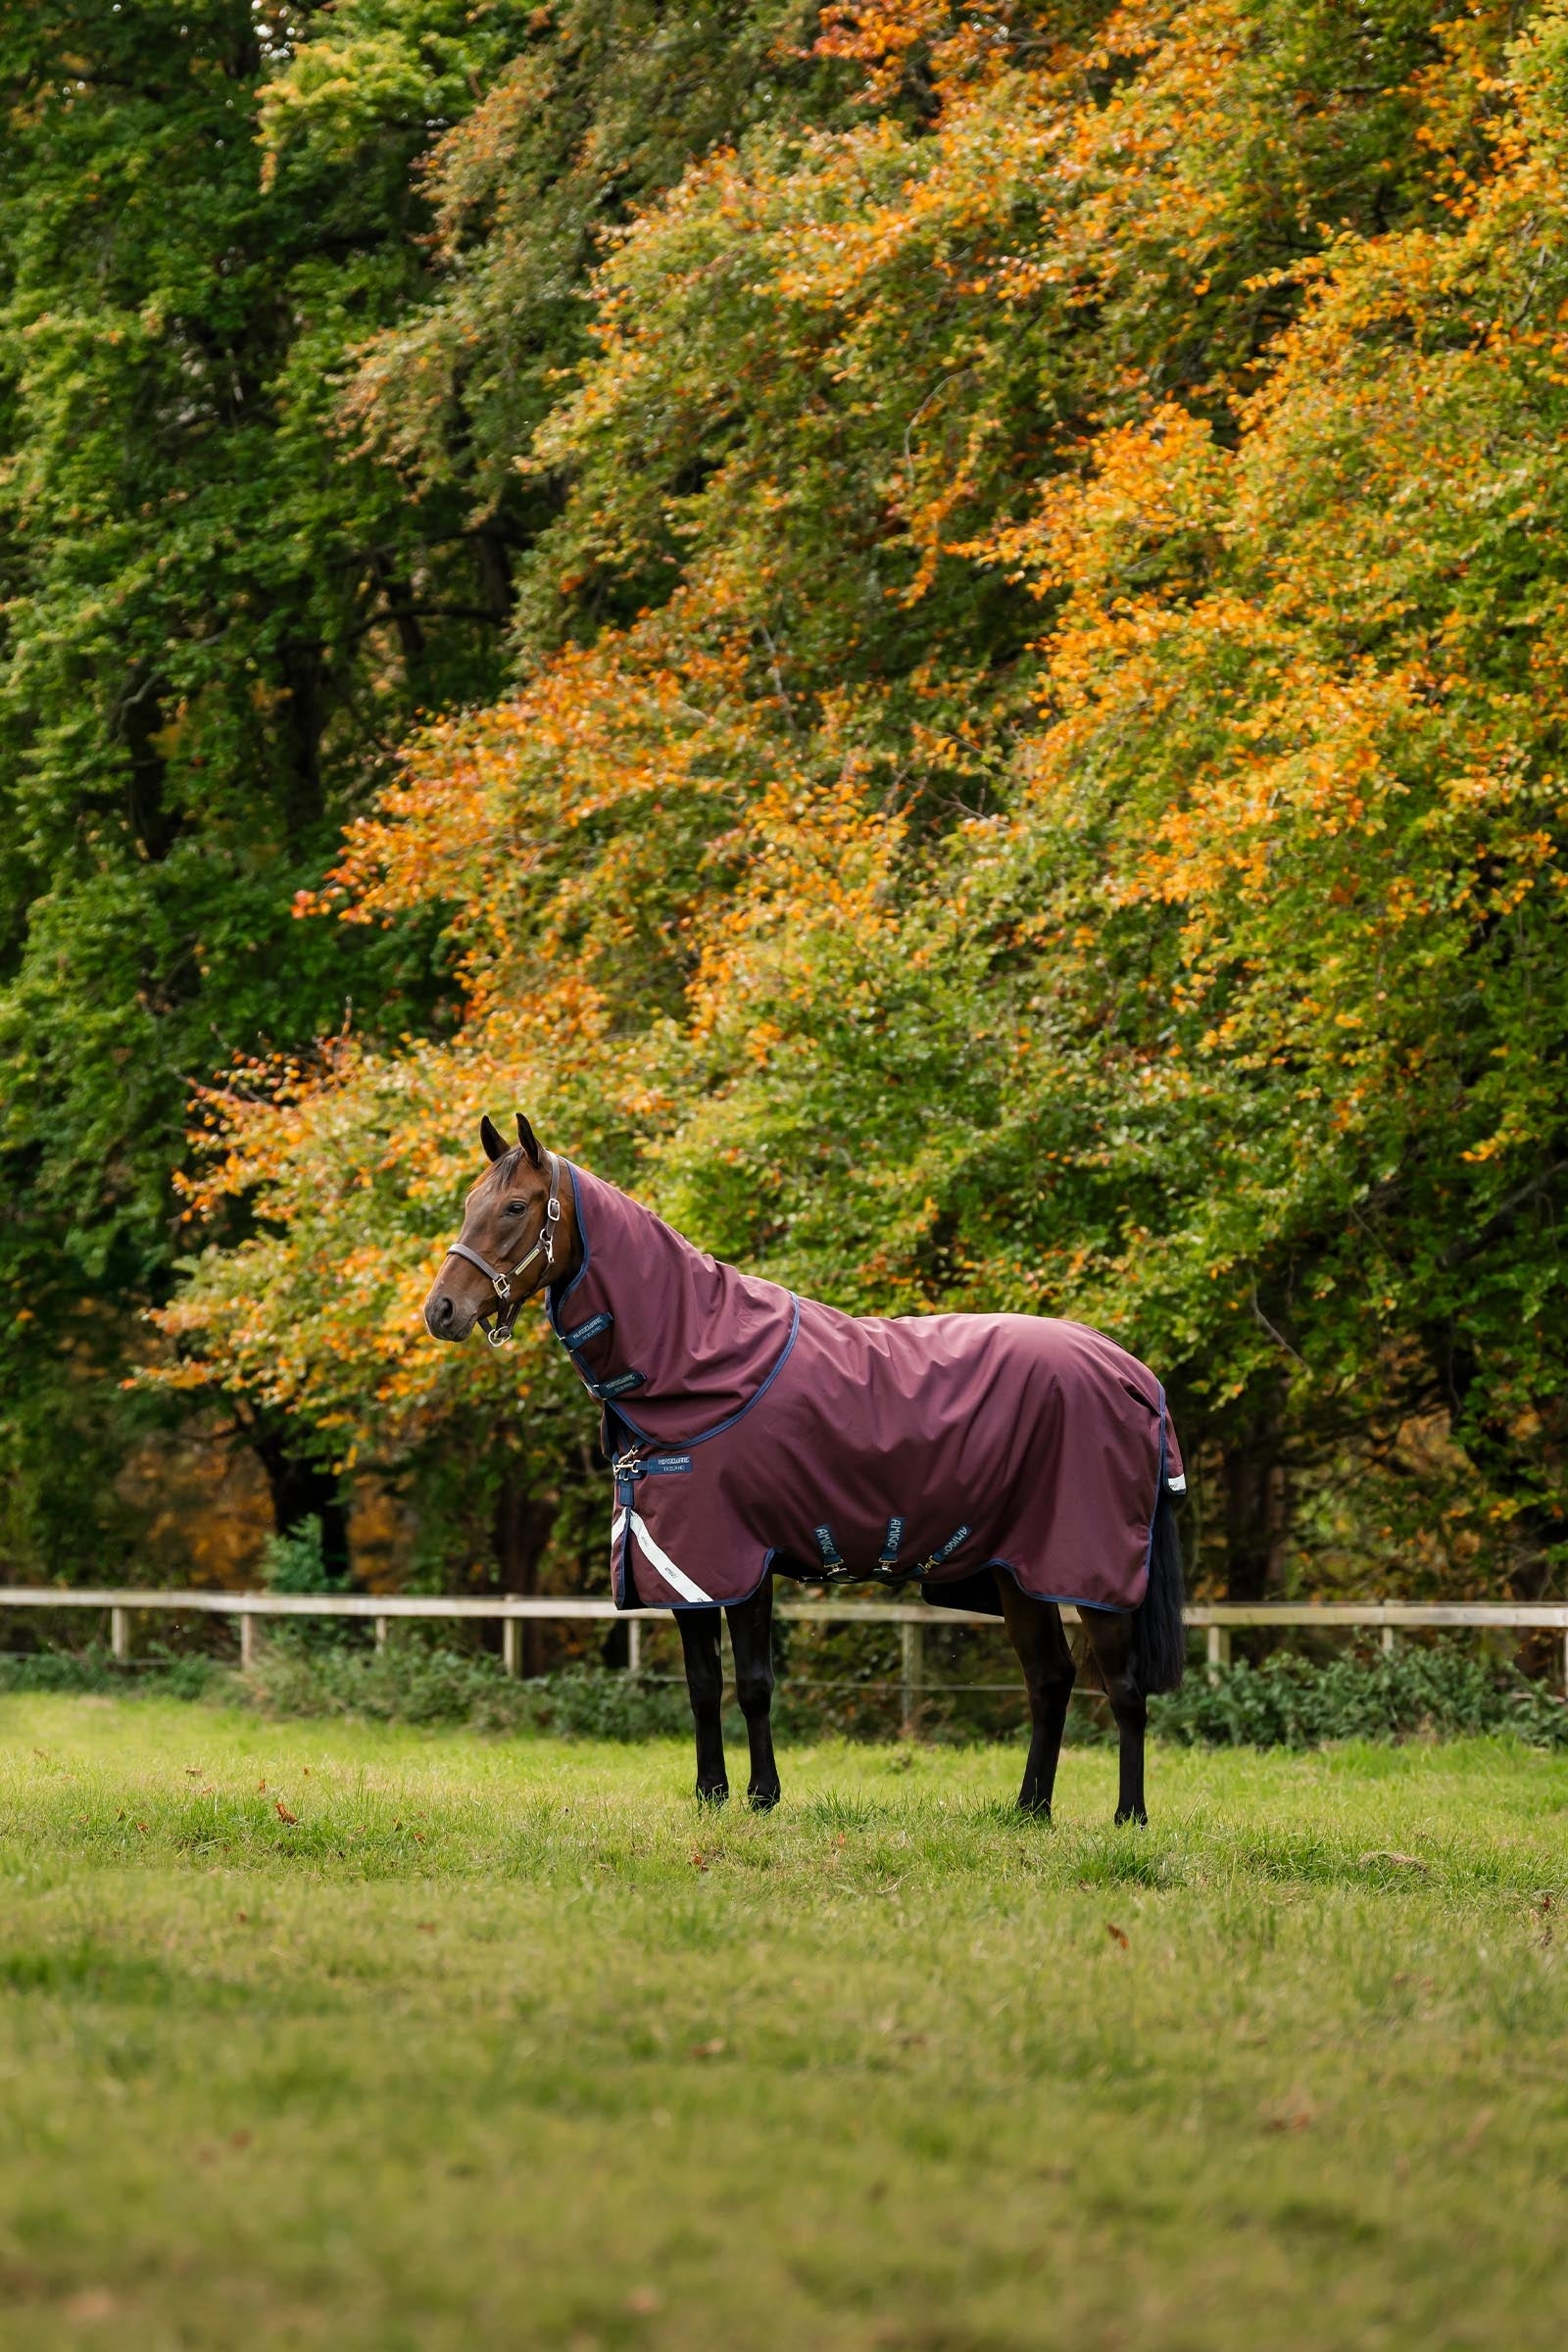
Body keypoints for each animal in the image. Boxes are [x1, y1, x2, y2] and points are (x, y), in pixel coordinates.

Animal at [423, 1114, 1187, 1821]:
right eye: (469, 1202)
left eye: (514, 1207)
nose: (442, 1310)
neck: (698, 1358)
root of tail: (1133, 1374)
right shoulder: (680, 1565)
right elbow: (703, 1684)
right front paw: (710, 1795)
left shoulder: (738, 1559)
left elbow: (755, 1683)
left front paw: (762, 1796)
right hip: (1019, 1574)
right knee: (1050, 1679)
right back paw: (1029, 1812)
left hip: (1091, 1572)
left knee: (1123, 1689)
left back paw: (1129, 1817)